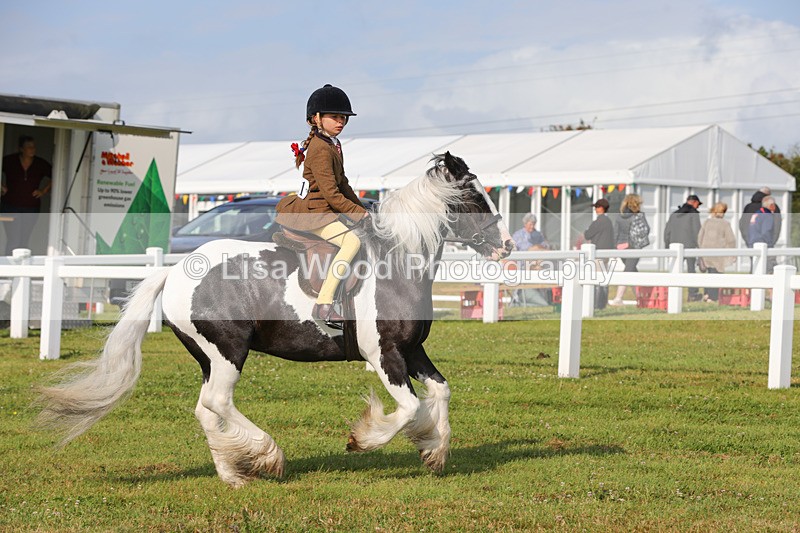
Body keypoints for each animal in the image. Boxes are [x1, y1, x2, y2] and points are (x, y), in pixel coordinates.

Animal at [37, 152, 514, 487]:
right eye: (472, 197)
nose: (507, 246)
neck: (397, 263)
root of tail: (174, 271)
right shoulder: (384, 354)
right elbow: (411, 407)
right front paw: (364, 439)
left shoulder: (412, 350)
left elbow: (441, 391)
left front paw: (434, 449)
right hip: (228, 351)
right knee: (218, 402)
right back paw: (268, 456)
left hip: (208, 357)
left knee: (205, 408)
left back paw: (233, 474)